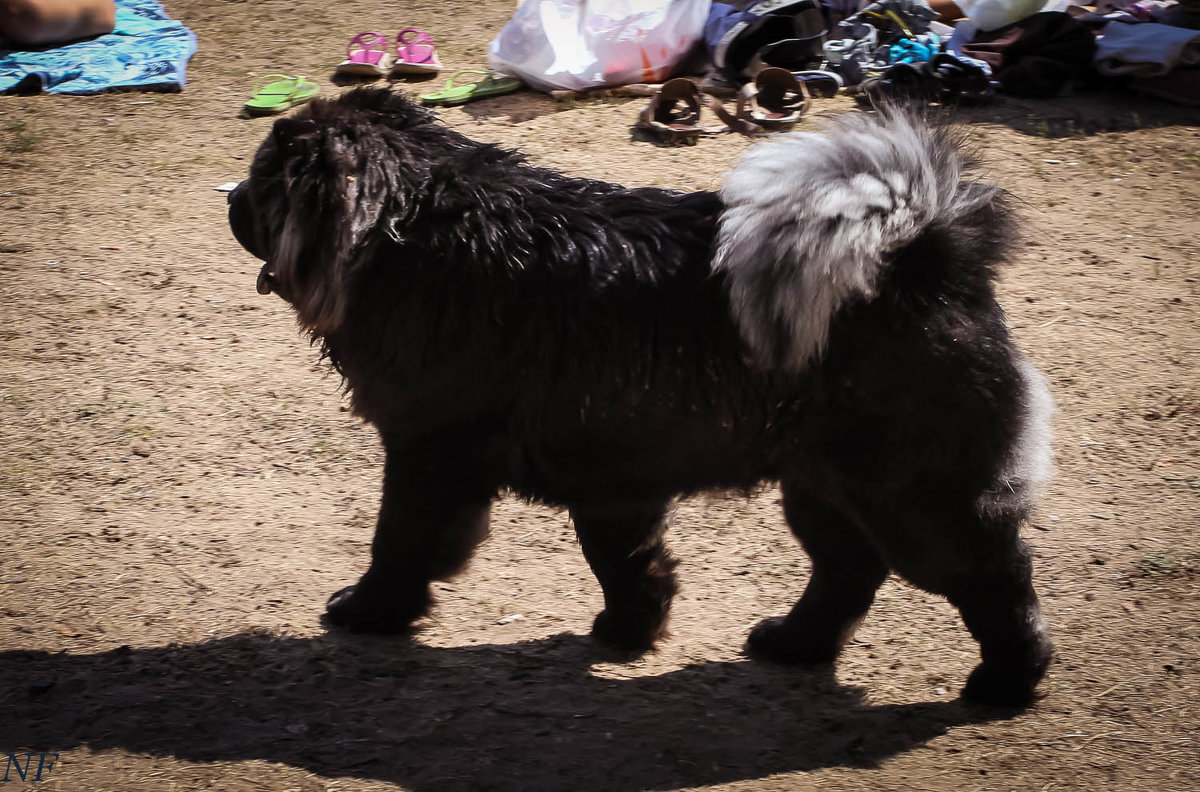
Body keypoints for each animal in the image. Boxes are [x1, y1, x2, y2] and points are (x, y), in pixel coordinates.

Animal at [229, 88, 1056, 705]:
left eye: (264, 181)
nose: (231, 195)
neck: (418, 228)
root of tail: (928, 255)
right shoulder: (613, 482)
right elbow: (627, 564)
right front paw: (631, 631)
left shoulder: (427, 457)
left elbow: (399, 544)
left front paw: (369, 612)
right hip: (820, 489)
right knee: (847, 571)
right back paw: (796, 644)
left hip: (918, 505)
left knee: (995, 581)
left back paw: (1007, 681)